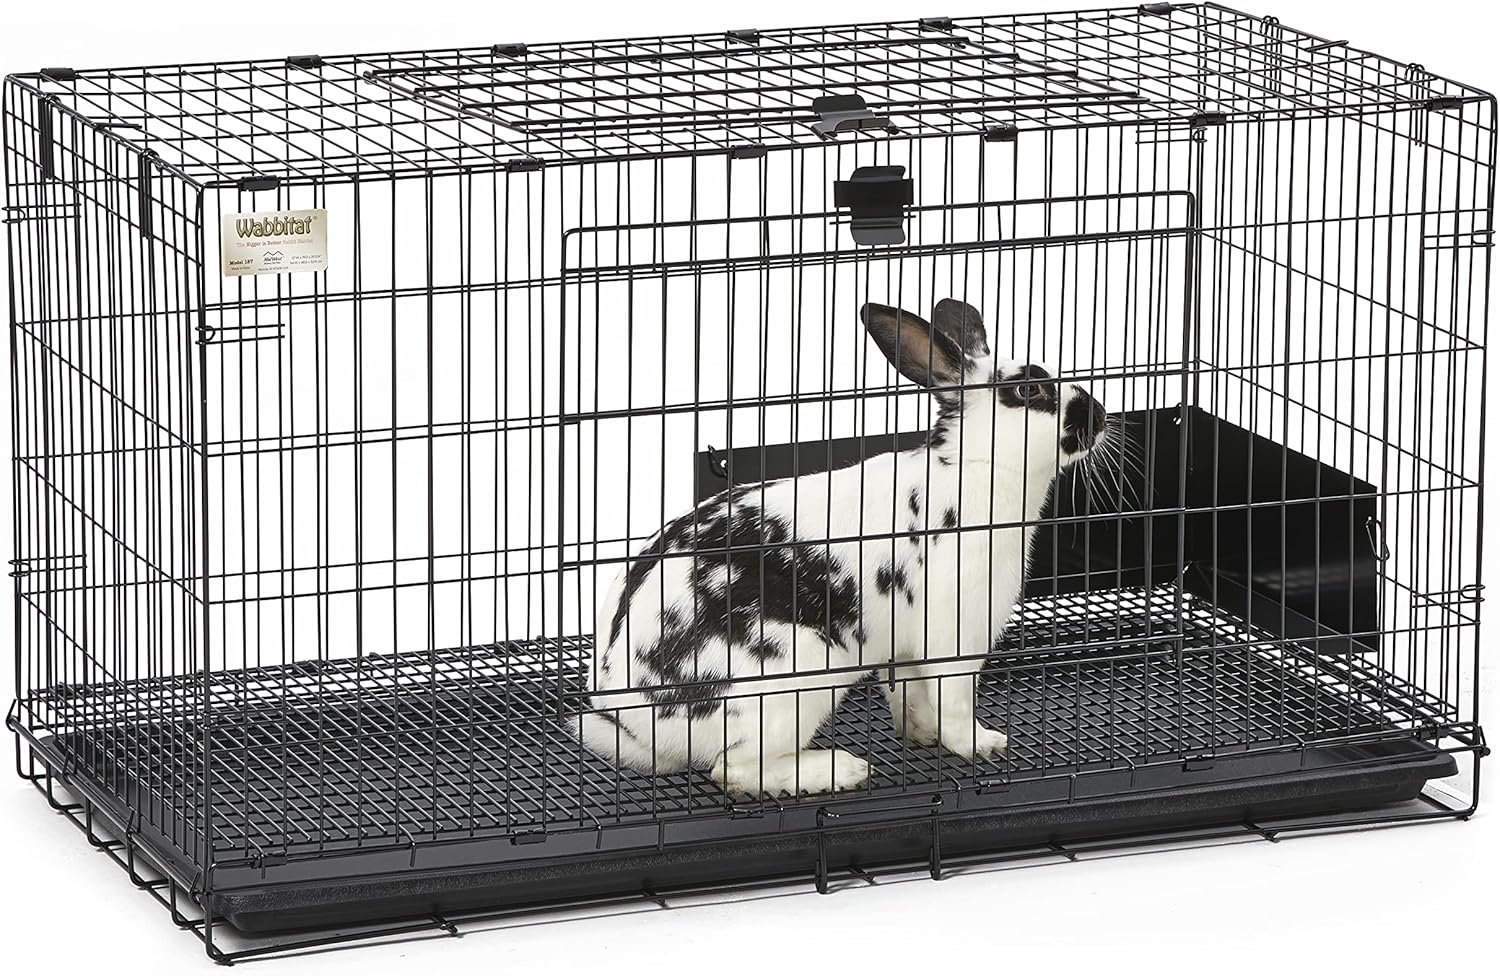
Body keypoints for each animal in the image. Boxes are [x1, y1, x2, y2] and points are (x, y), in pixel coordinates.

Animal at [576, 298, 1109, 796]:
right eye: (1027, 391)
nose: (1100, 414)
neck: (975, 466)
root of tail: (632, 723)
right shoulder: (956, 634)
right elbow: (954, 701)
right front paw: (982, 744)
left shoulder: (906, 650)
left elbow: (911, 695)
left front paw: (921, 733)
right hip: (795, 676)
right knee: (734, 769)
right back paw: (841, 769)